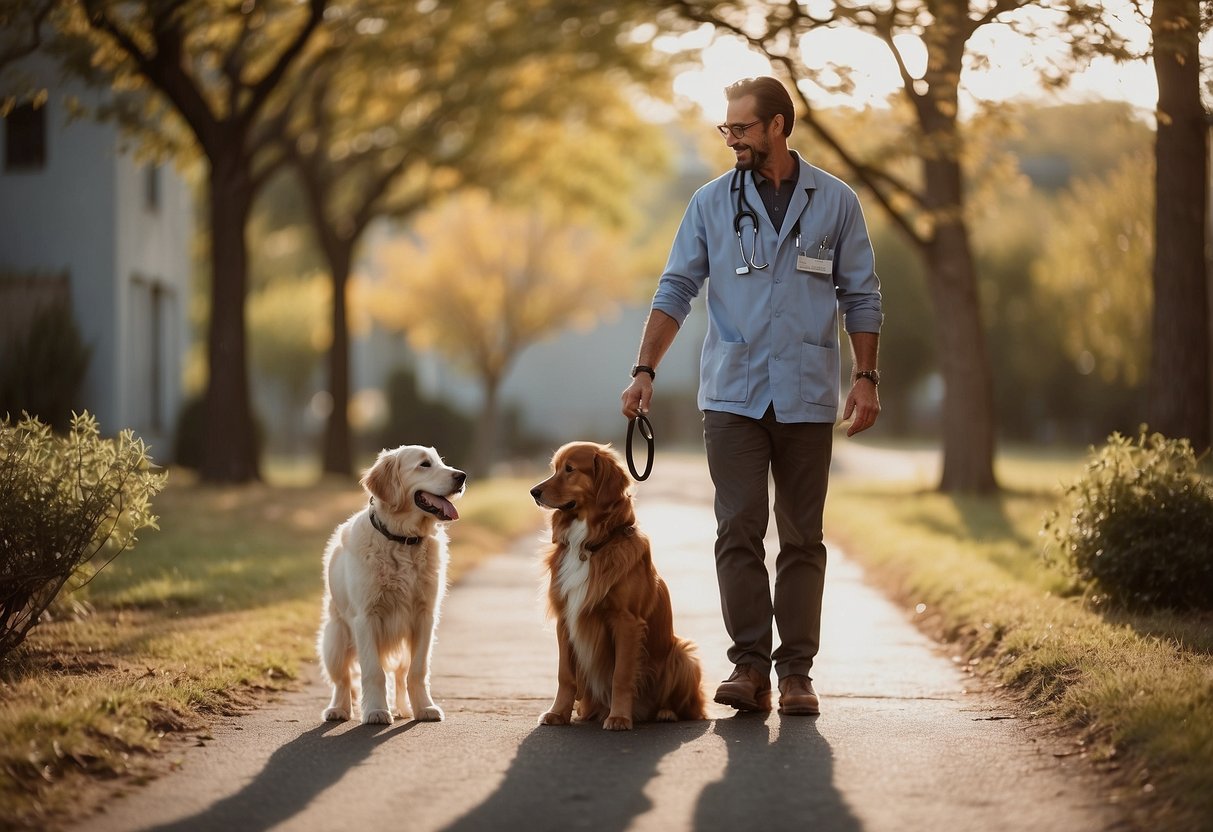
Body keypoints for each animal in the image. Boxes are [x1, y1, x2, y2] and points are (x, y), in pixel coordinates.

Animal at [315, 446, 465, 727]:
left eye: (441, 462)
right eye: (424, 464)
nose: (461, 476)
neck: (402, 540)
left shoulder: (425, 616)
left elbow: (418, 671)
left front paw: (424, 707)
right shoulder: (365, 617)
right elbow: (373, 672)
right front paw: (375, 711)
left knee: (400, 674)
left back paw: (405, 708)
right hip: (335, 639)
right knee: (342, 680)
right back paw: (338, 709)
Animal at [526, 443, 708, 727]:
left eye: (570, 469)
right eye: (554, 468)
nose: (534, 491)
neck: (588, 545)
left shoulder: (627, 621)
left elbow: (621, 676)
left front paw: (620, 717)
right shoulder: (564, 618)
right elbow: (564, 675)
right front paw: (558, 713)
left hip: (684, 654)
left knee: (692, 708)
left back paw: (665, 712)